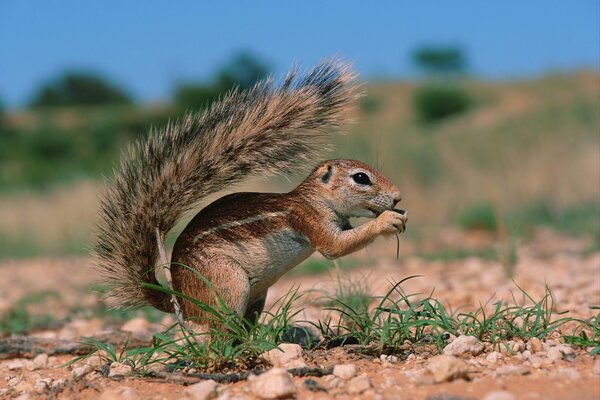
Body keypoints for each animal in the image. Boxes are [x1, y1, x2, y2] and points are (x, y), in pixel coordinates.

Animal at [95, 60, 408, 328]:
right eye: (361, 178)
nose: (397, 198)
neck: (314, 199)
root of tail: (181, 300)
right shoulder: (307, 218)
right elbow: (335, 247)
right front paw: (388, 221)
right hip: (227, 282)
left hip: (257, 296)